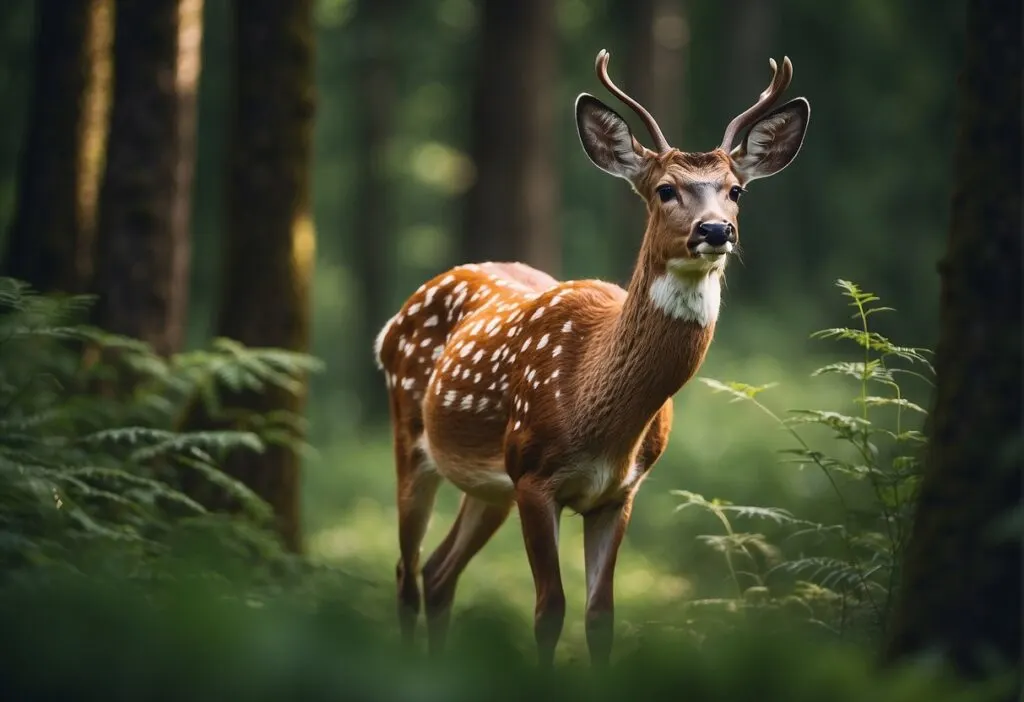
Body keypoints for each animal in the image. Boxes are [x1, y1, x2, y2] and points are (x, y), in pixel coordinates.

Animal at [374, 49, 809, 667]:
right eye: (665, 189)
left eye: (736, 190)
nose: (716, 230)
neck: (595, 405)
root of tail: (394, 320)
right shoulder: (534, 475)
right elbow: (548, 610)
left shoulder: (618, 492)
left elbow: (600, 615)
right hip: (413, 438)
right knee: (406, 574)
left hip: (489, 484)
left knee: (437, 574)